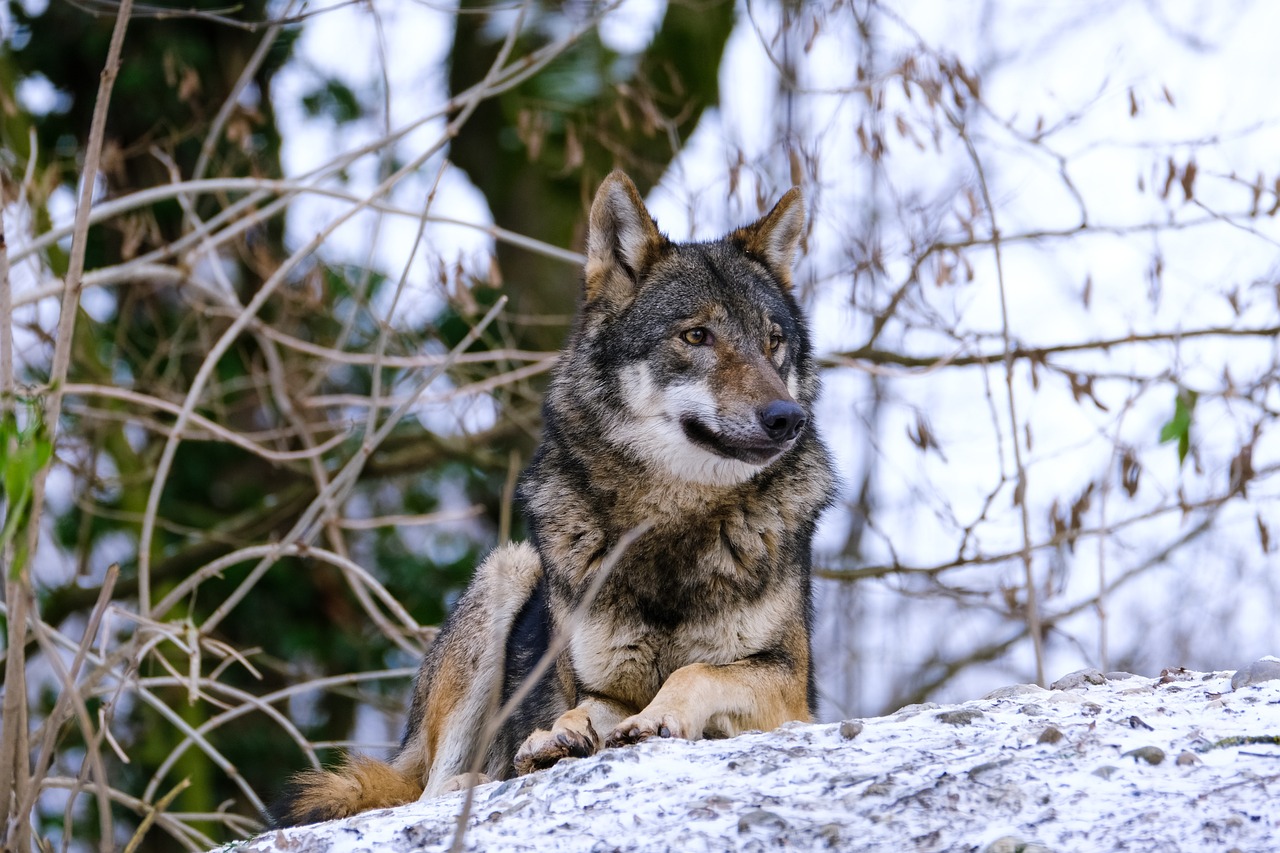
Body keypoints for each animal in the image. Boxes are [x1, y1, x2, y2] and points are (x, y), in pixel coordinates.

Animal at [271, 171, 836, 826]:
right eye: (697, 335)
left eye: (773, 342)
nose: (787, 418)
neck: (671, 524)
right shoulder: (597, 686)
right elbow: (581, 708)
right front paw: (557, 736)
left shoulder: (790, 691)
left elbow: (696, 673)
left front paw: (656, 718)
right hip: (508, 569)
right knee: (432, 789)